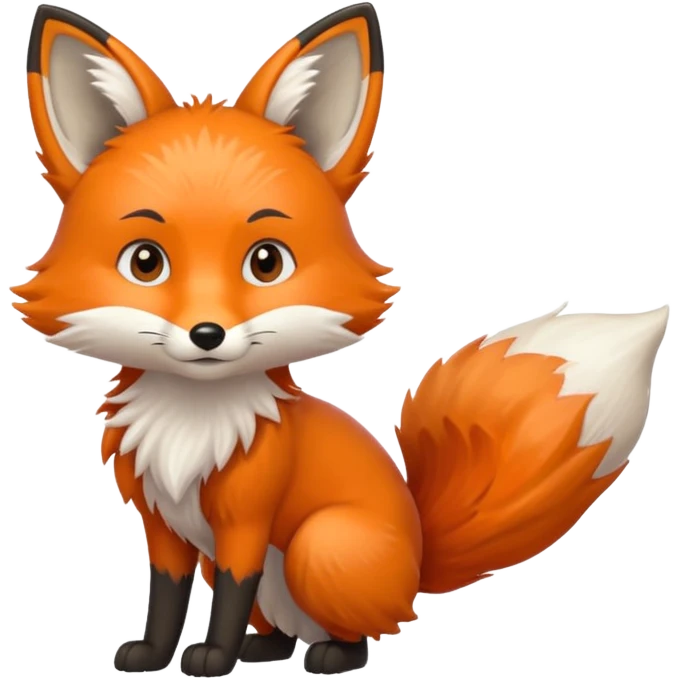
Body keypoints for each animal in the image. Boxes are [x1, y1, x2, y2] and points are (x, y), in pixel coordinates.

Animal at [16, 2, 669, 678]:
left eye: (266, 262)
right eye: (145, 262)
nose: (207, 334)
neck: (192, 424)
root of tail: (417, 561)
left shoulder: (246, 521)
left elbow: (228, 594)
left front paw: (214, 657)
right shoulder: (162, 523)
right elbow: (167, 597)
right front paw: (151, 654)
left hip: (317, 544)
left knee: (359, 631)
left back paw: (331, 655)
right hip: (282, 581)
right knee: (283, 627)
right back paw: (269, 649)